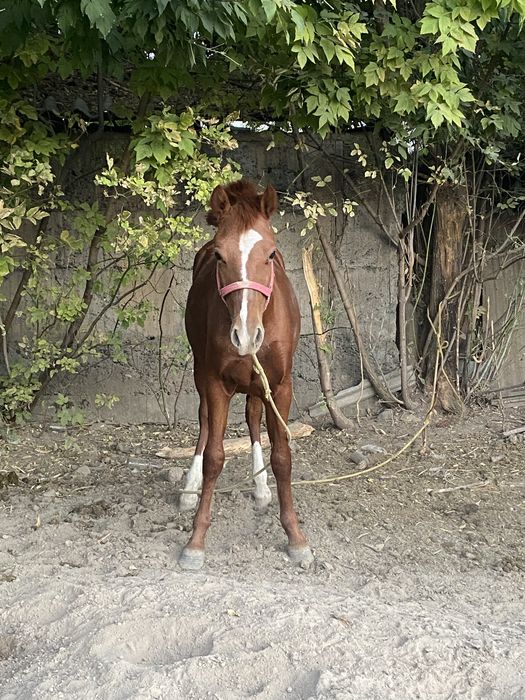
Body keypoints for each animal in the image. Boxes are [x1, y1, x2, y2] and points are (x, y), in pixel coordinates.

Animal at [178, 179, 313, 570]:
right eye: (221, 257)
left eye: (270, 254)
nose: (246, 334)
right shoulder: (214, 382)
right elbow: (215, 457)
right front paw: (196, 541)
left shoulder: (281, 385)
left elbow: (282, 457)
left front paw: (295, 537)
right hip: (200, 371)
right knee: (204, 421)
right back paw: (189, 489)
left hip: (259, 383)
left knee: (253, 416)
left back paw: (261, 488)